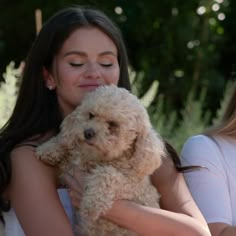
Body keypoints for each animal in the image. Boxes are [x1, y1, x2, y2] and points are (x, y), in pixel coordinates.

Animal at [36, 85, 166, 236]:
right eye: (91, 115)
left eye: (113, 124)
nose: (88, 132)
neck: (97, 159)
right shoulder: (69, 170)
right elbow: (66, 147)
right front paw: (48, 149)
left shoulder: (132, 188)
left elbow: (106, 173)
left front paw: (91, 205)